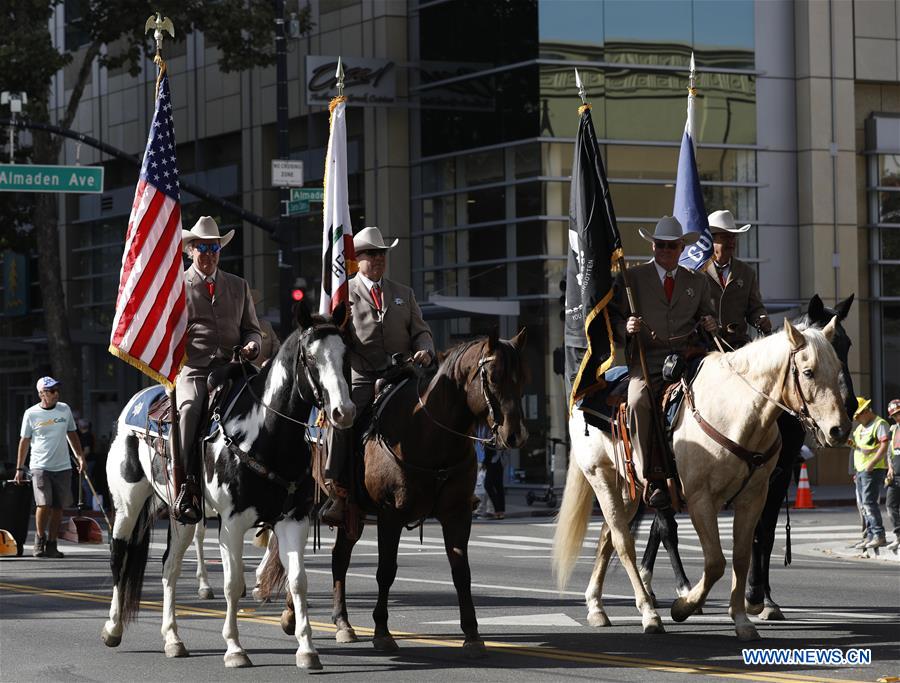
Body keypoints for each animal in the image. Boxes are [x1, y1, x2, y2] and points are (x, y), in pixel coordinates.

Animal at [98, 308, 352, 672]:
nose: (343, 412)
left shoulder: (293, 519)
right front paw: (234, 648)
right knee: (119, 556)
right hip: (128, 506)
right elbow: (233, 585)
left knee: (169, 568)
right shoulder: (232, 523)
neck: (269, 435)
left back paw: (173, 639)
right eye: (311, 358)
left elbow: (298, 580)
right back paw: (113, 628)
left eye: (347, 356)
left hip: (181, 515)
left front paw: (307, 649)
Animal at [270, 332, 532, 656]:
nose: (515, 435)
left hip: (352, 513)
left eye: (523, 378)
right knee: (295, 556)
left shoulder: (456, 513)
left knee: (339, 557)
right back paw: (290, 615)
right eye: (493, 377)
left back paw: (342, 623)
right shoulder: (389, 514)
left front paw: (472, 633)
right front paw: (382, 632)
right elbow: (386, 570)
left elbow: (461, 572)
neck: (429, 433)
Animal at [552, 320, 856, 640]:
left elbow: (742, 555)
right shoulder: (700, 500)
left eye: (838, 366)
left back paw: (596, 606)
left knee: (607, 536)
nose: (839, 429)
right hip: (601, 477)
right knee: (624, 542)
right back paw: (649, 613)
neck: (736, 412)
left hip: (629, 489)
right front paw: (684, 605)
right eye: (808, 371)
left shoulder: (756, 496)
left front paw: (742, 619)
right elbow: (715, 562)